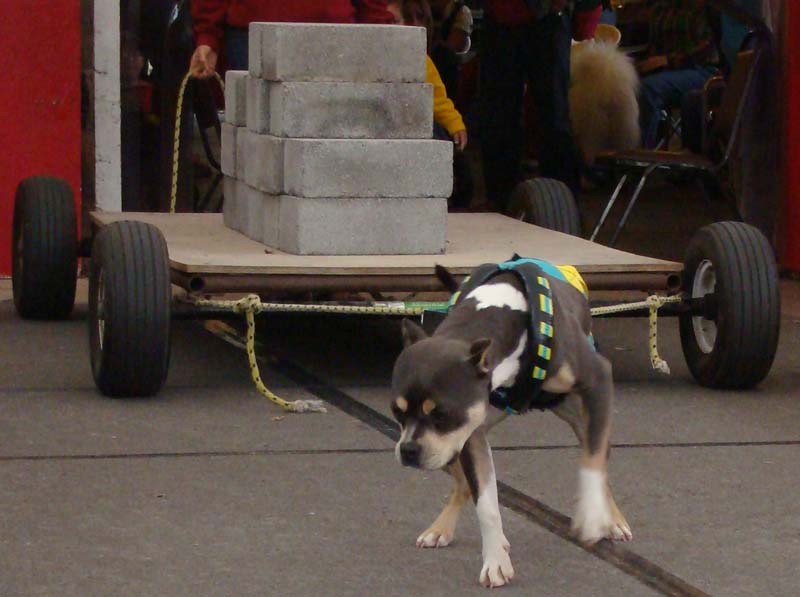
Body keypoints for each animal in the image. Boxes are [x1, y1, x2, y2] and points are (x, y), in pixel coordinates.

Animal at [392, 260, 632, 588]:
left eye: (441, 415)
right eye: (397, 413)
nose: (407, 451)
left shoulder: (599, 380)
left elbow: (592, 465)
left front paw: (594, 516)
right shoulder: (471, 432)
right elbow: (486, 504)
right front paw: (495, 560)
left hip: (585, 414)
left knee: (597, 453)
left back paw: (613, 519)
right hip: (459, 446)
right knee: (463, 484)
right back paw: (441, 528)